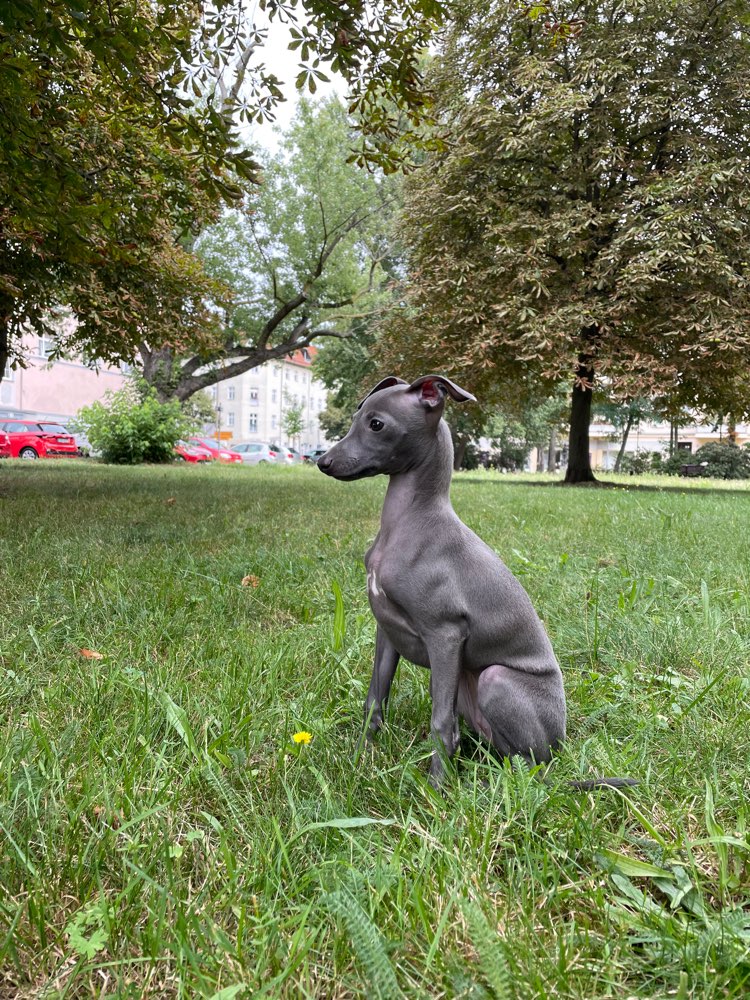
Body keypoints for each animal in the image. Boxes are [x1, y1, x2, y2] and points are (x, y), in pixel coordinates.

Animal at [316, 372, 568, 784]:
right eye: (355, 418)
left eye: (376, 424)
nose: (323, 462)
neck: (408, 523)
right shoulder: (387, 631)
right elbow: (374, 701)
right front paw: (359, 761)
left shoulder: (446, 635)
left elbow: (442, 725)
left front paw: (435, 791)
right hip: (466, 687)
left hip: (493, 679)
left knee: (528, 762)